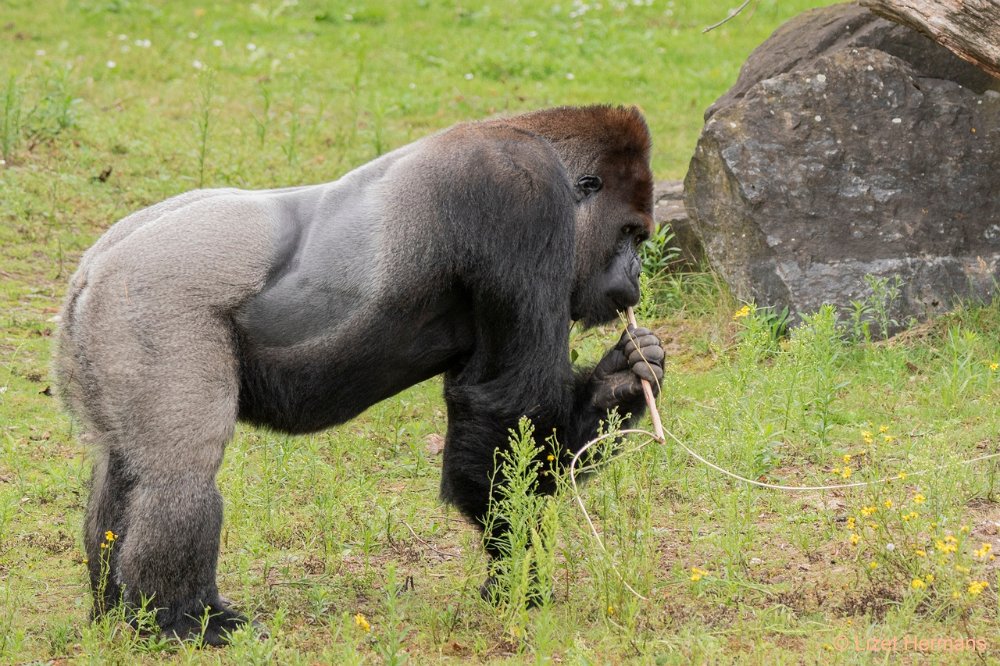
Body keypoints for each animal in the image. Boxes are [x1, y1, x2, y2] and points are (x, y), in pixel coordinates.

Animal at [54, 105, 664, 644]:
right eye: (630, 233)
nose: (637, 275)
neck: (544, 147)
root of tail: (92, 267)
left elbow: (489, 406)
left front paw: (625, 374)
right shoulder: (522, 199)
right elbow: (505, 405)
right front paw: (517, 570)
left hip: (100, 335)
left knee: (122, 468)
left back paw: (117, 610)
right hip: (152, 301)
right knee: (178, 475)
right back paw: (184, 619)